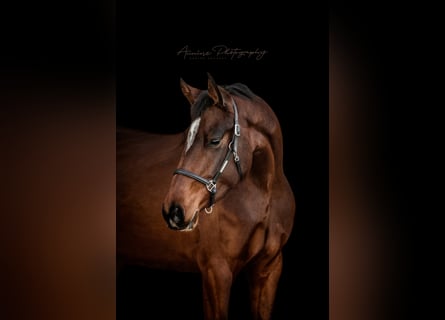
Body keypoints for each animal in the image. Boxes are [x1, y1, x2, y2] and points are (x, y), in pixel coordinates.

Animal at [117, 74, 294, 318]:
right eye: (186, 138)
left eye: (215, 140)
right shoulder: (216, 272)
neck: (265, 196)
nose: (173, 210)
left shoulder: (269, 268)